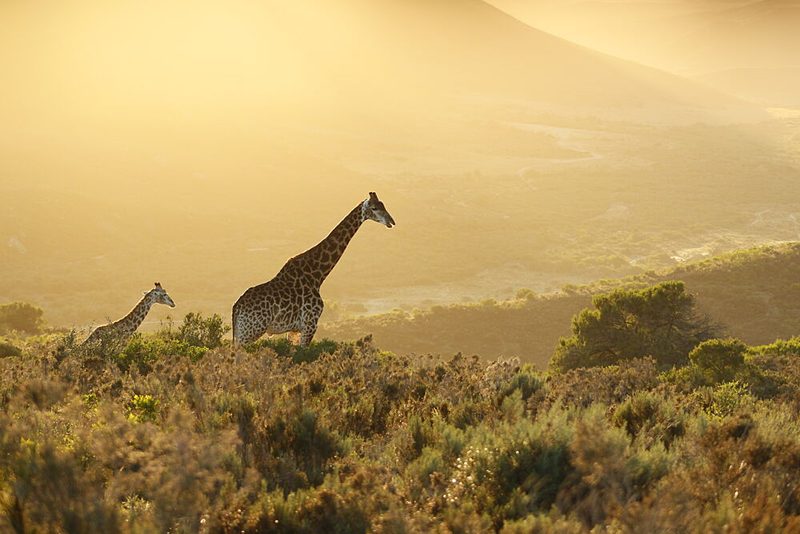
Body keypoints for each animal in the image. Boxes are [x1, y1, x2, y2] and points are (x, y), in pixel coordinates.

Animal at [232, 192, 395, 347]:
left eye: (383, 205)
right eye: (374, 208)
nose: (391, 222)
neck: (317, 275)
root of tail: (236, 308)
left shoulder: (295, 330)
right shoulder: (310, 324)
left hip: (243, 333)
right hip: (250, 332)